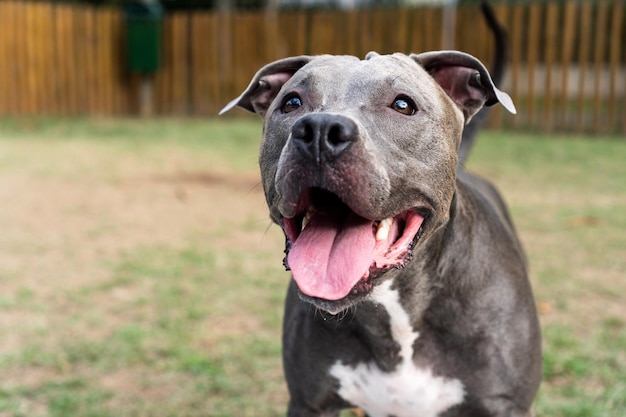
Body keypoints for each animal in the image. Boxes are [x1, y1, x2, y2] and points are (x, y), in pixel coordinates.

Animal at [221, 7, 540, 416]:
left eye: (403, 104)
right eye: (291, 102)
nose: (320, 130)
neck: (391, 311)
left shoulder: (505, 404)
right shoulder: (309, 402)